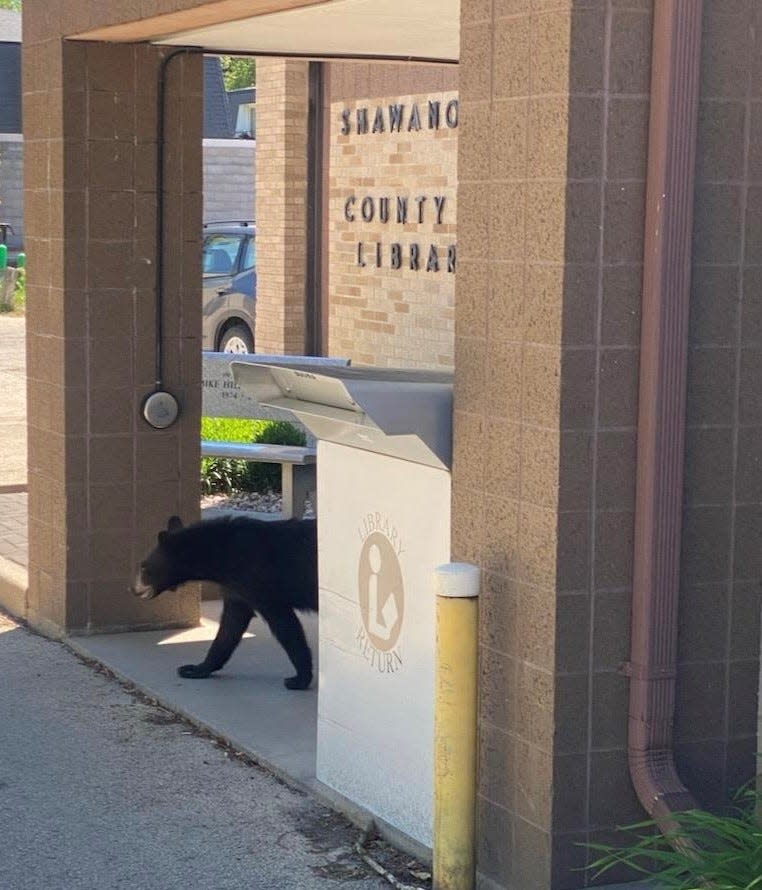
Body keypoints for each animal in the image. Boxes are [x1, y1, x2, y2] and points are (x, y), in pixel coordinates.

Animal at [132, 512, 316, 688]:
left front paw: (300, 679)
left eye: (144, 566)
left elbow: (284, 623)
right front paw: (196, 669)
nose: (133, 590)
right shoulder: (235, 587)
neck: (222, 555)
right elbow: (231, 625)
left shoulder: (256, 578)